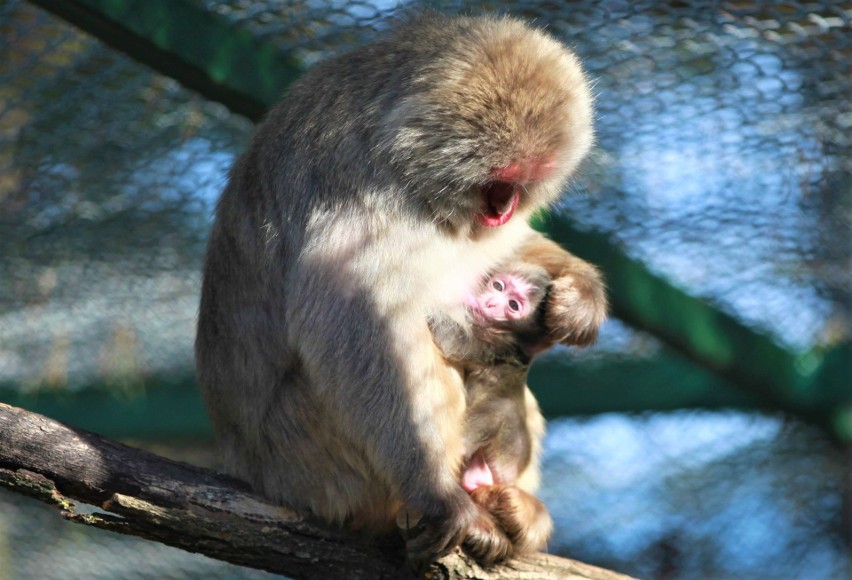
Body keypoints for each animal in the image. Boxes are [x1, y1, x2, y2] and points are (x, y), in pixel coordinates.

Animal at [430, 262, 556, 552]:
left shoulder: (493, 344)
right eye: (498, 286)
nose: (489, 303)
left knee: (497, 413)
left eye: (513, 305)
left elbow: (451, 338)